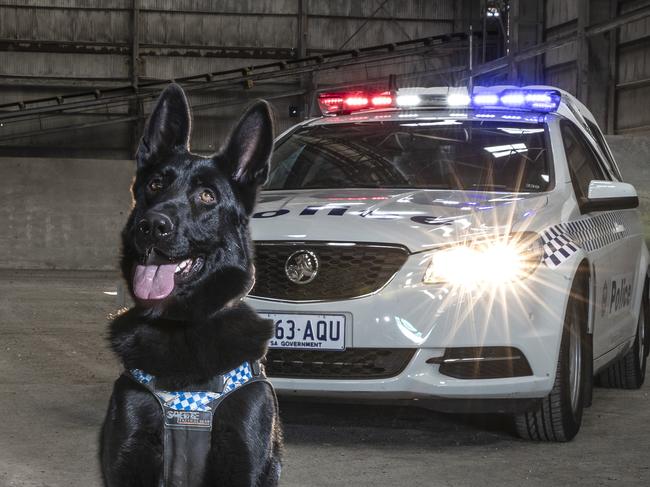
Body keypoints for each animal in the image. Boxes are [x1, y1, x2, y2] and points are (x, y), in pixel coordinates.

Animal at [99, 85, 280, 487]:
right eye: (155, 185)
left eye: (207, 196)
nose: (152, 226)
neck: (181, 326)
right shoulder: (128, 455)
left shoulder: (241, 459)